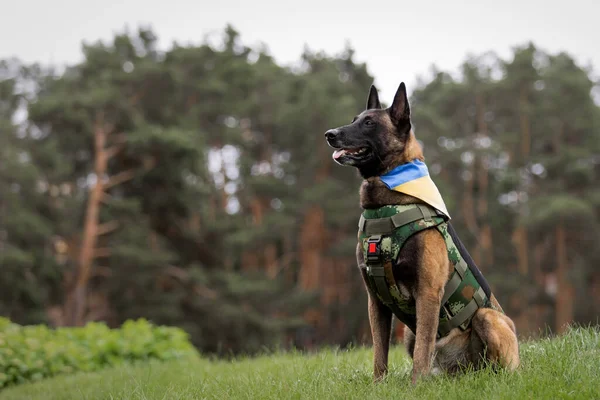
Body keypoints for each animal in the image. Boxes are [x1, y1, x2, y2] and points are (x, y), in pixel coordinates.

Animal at [326, 82, 516, 384]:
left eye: (369, 123)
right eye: (355, 119)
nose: (329, 134)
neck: (386, 203)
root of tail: (464, 372)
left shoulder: (427, 293)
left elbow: (423, 349)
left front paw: (416, 386)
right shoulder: (375, 301)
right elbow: (379, 352)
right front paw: (378, 385)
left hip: (487, 318)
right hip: (408, 334)